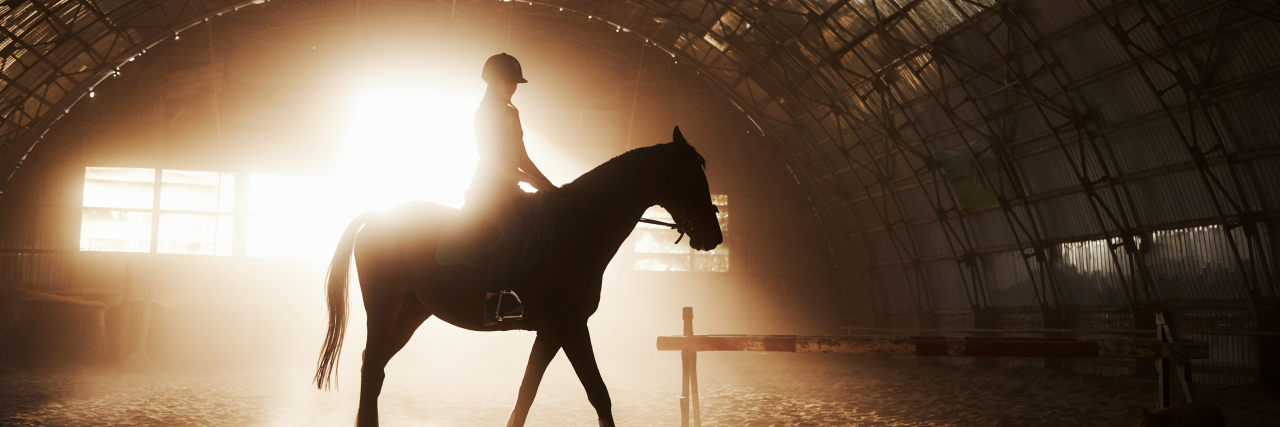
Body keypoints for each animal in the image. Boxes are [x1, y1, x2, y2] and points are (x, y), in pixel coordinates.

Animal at [313, 127, 723, 427]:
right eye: (689, 174)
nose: (714, 236)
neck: (578, 227)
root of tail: (380, 216)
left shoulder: (552, 331)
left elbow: (526, 395)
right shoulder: (571, 325)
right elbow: (599, 394)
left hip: (412, 311)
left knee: (375, 366)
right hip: (384, 305)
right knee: (372, 367)